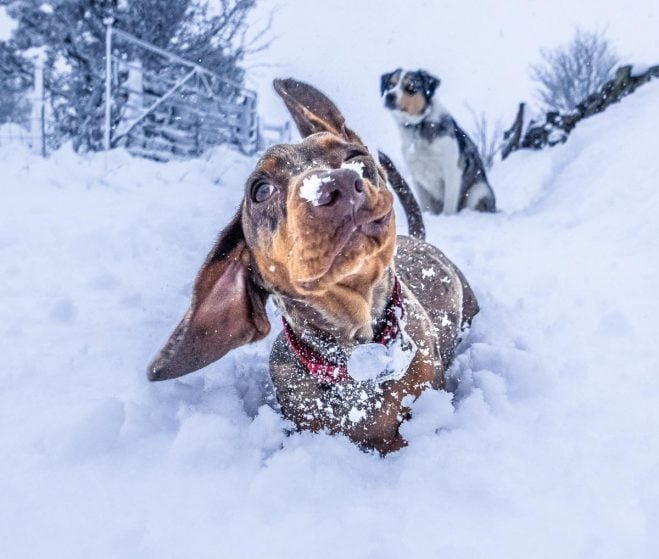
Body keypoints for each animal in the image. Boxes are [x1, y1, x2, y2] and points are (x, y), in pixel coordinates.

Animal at [382, 66, 496, 214]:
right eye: (391, 84)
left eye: (410, 87)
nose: (389, 96)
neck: (419, 126)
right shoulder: (417, 176)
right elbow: (423, 206)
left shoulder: (452, 170)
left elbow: (449, 206)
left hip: (478, 191)